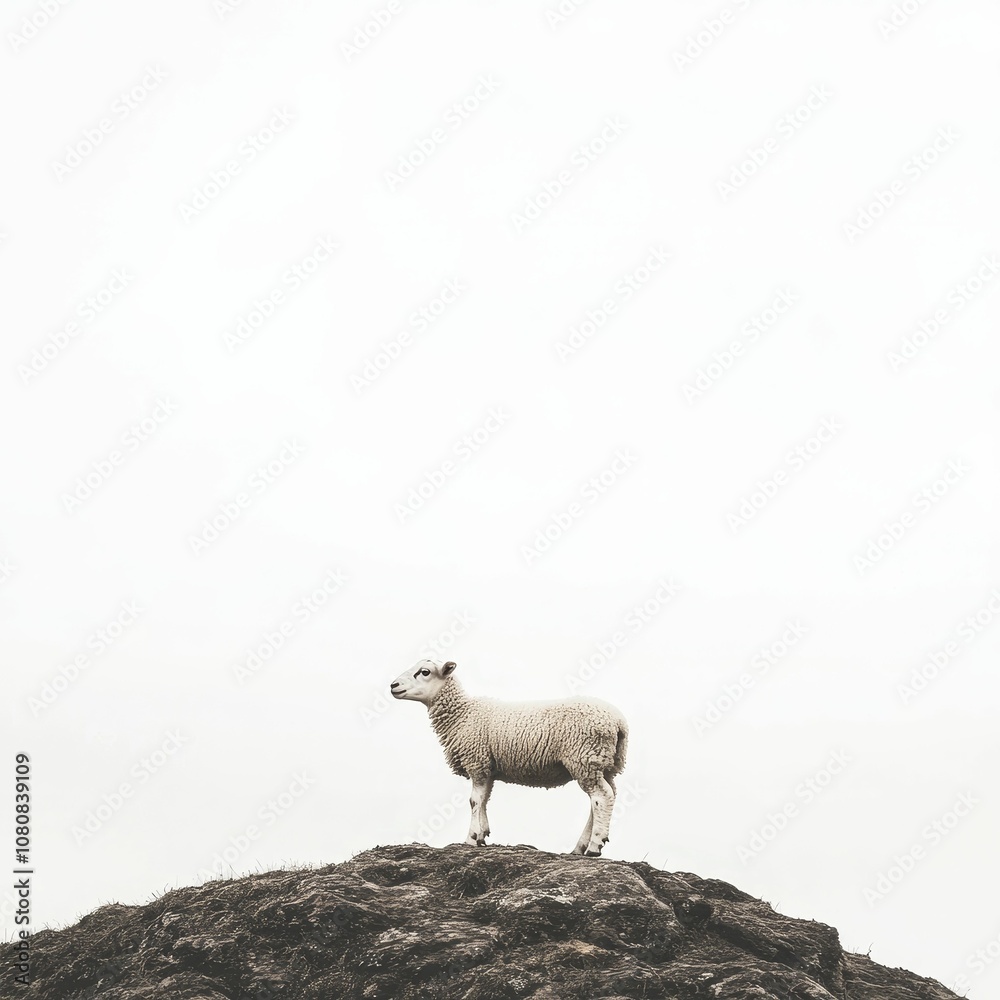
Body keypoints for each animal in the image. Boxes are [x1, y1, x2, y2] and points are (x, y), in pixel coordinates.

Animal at [390, 659, 628, 857]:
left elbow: (474, 800)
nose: (393, 685)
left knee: (601, 797)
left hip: (585, 757)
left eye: (424, 672)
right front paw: (482, 836)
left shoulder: (476, 760)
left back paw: (594, 846)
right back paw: (580, 847)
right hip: (605, 763)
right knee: (604, 797)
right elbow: (484, 800)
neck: (462, 714)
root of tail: (619, 722)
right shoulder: (487, 767)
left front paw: (470, 839)